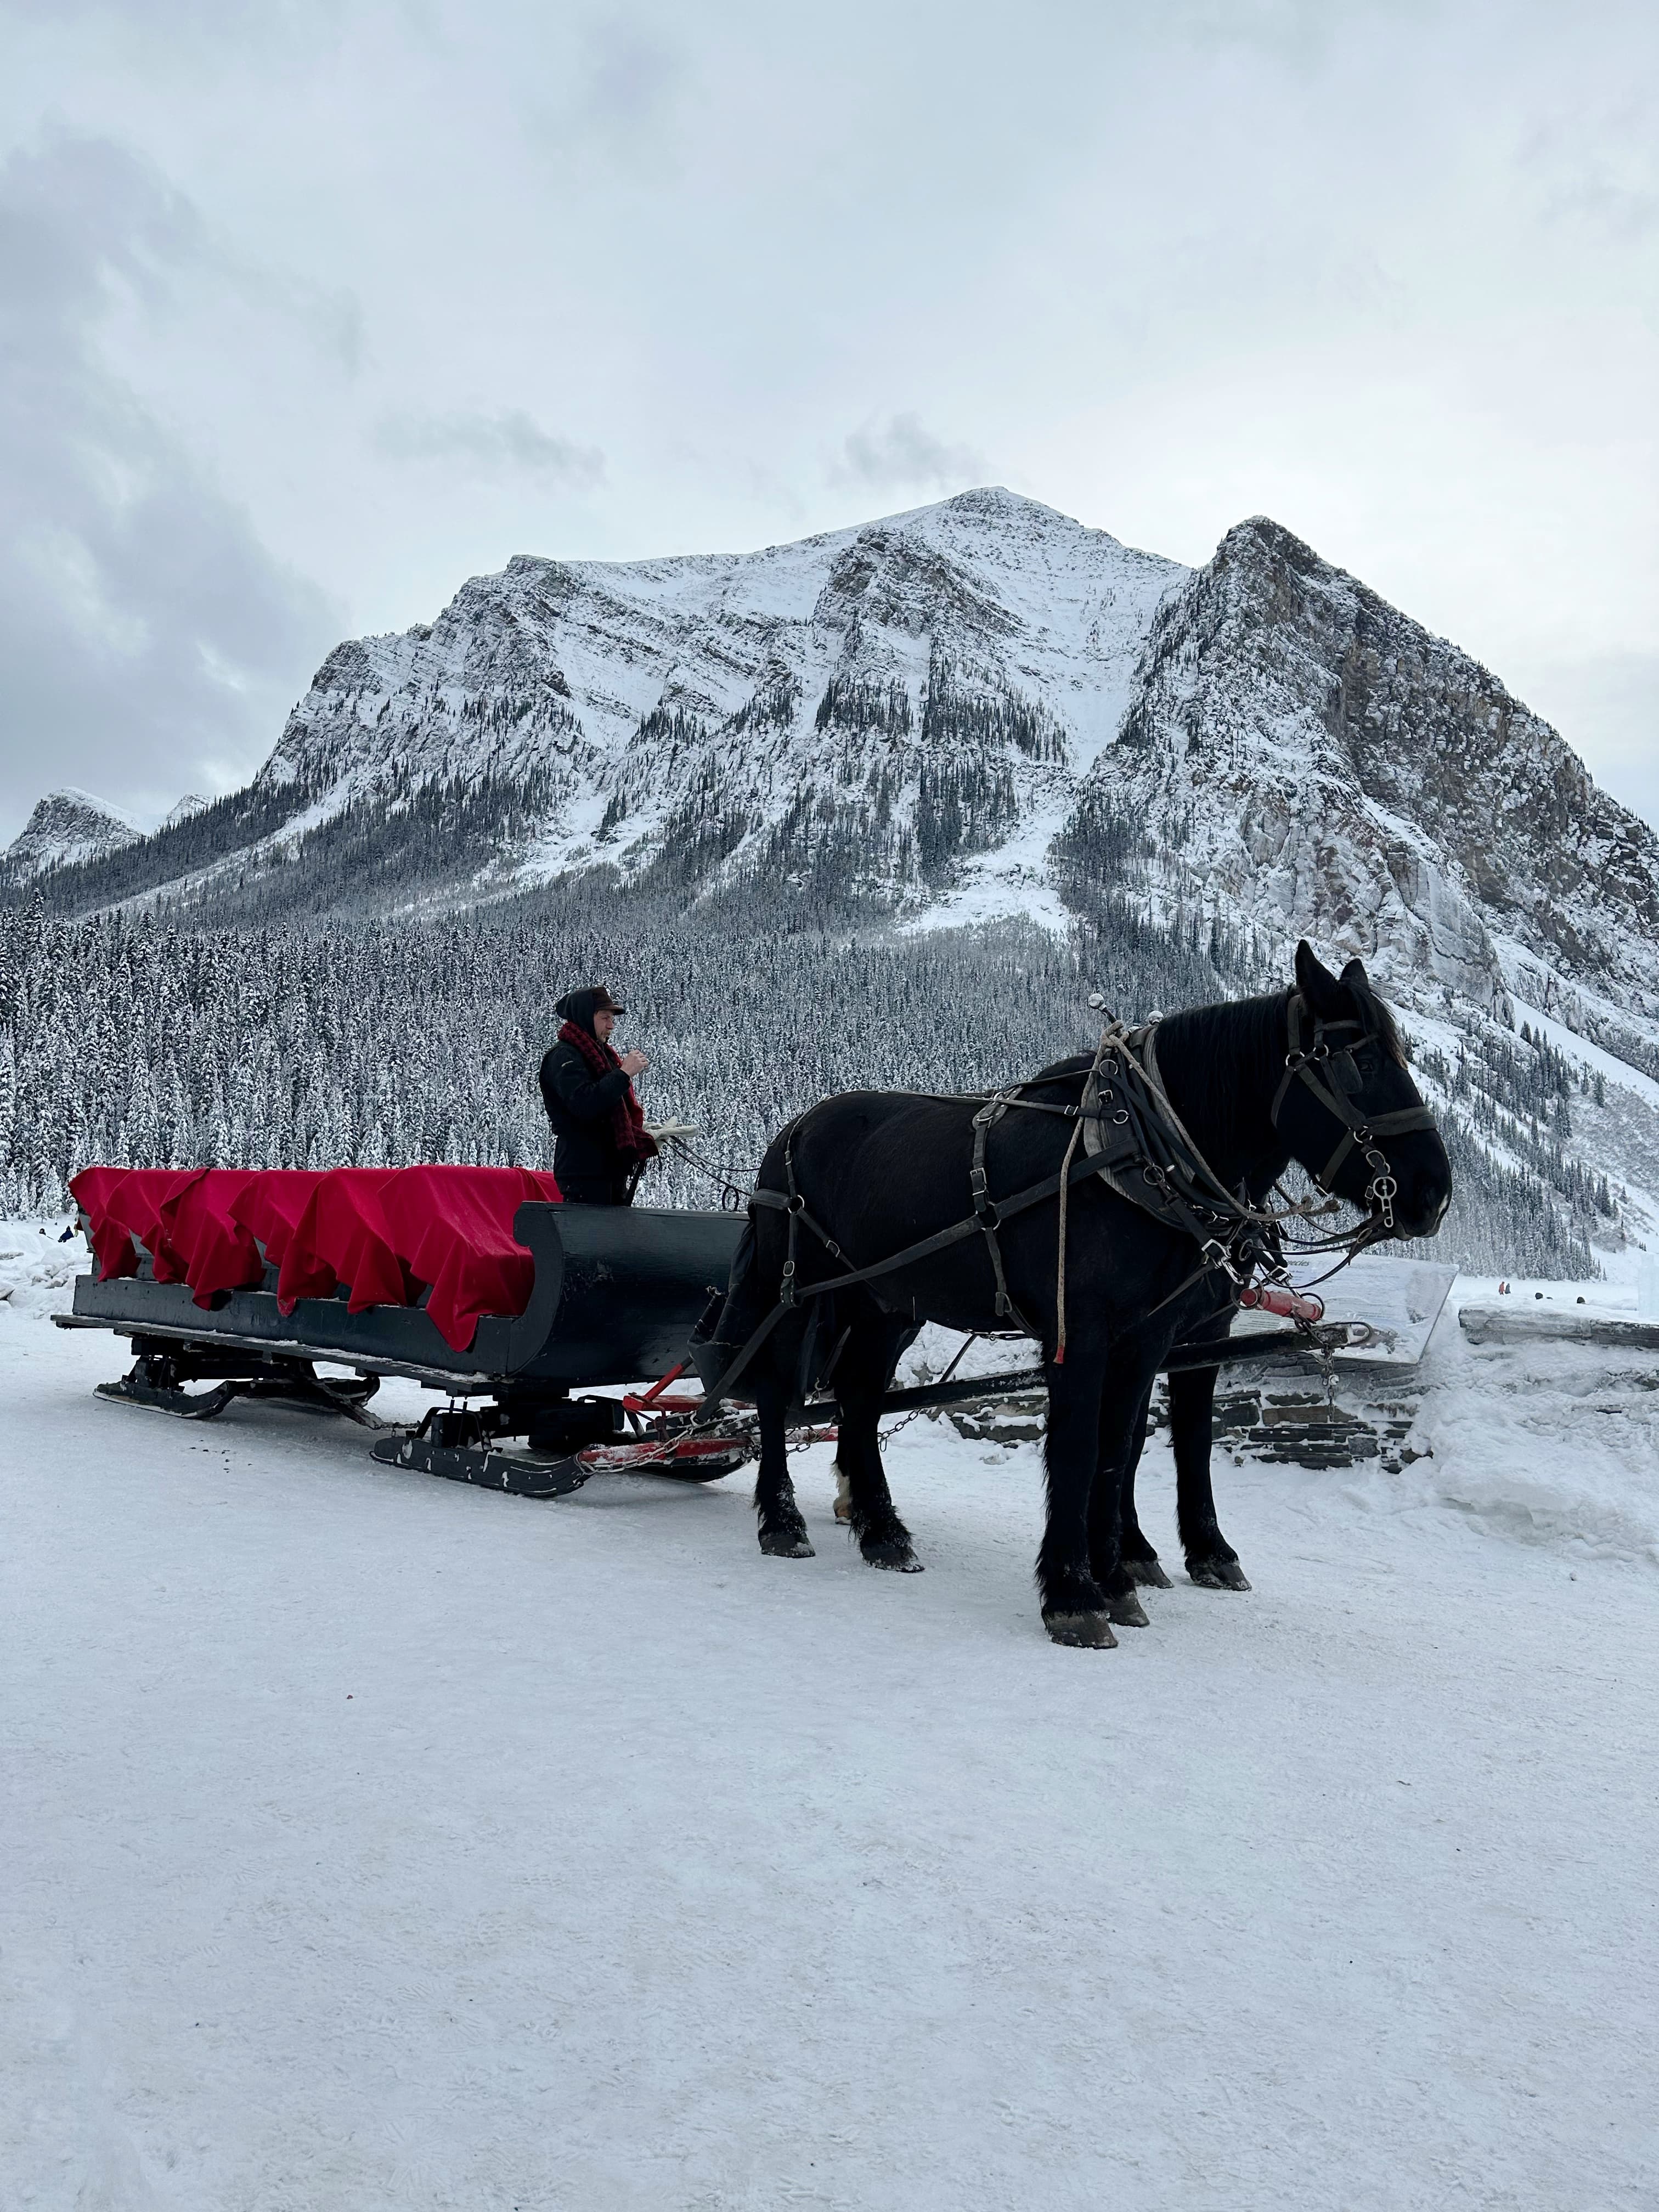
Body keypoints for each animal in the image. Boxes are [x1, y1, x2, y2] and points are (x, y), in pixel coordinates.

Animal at [711, 942, 1452, 1648]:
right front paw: (1075, 1594)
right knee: (775, 1395)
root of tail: (795, 1129)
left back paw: (882, 1530)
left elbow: (1135, 1448)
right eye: (1358, 1062)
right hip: (795, 1292)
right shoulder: (1082, 1332)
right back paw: (782, 1521)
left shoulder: (1162, 1335)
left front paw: (1136, 1569)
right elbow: (1079, 1452)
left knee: (861, 1401)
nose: (1433, 1193)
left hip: (886, 1306)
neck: (1144, 1156)